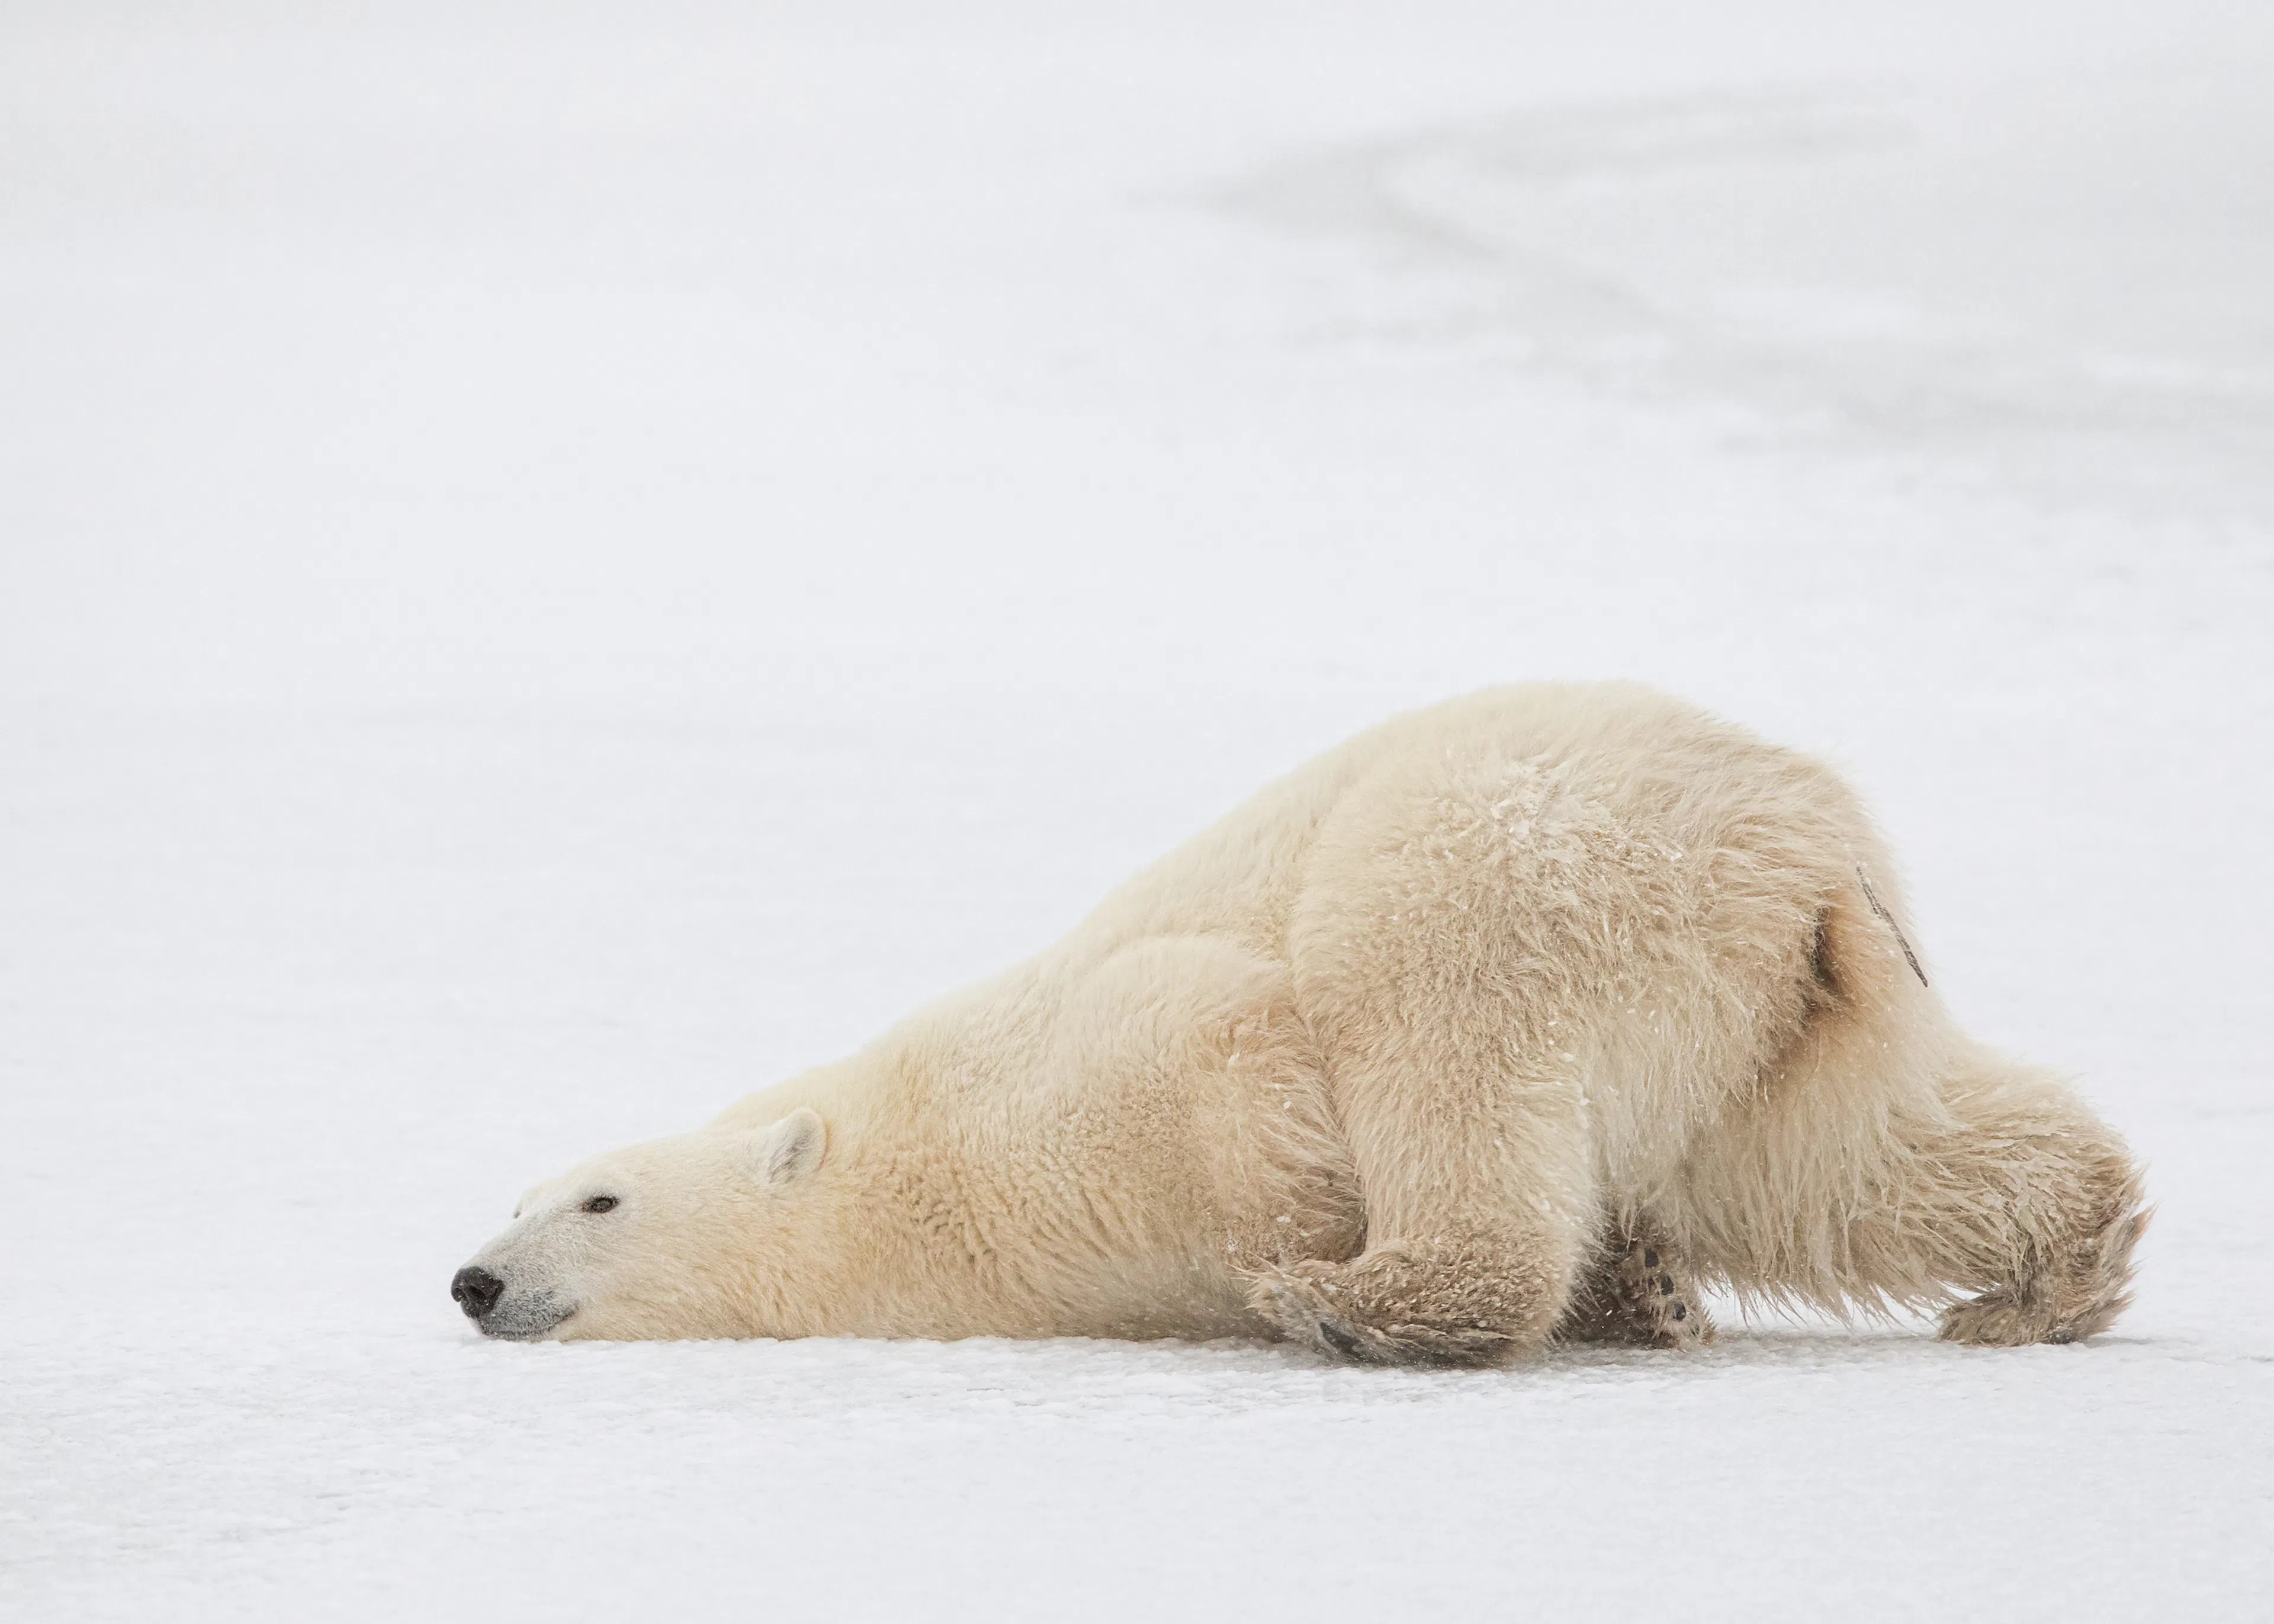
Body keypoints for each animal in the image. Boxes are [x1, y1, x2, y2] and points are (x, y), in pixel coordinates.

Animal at [450, 683, 2147, 1364]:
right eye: (510, 1193)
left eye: (594, 1198)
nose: (472, 1278)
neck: (915, 1168)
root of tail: (1800, 835)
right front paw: (1647, 1291)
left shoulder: (1105, 1068)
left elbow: (1237, 1042)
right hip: (1771, 1004)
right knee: (1832, 1160)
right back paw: (2045, 1278)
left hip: (1515, 859)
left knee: (1437, 1029)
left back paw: (1362, 1302)